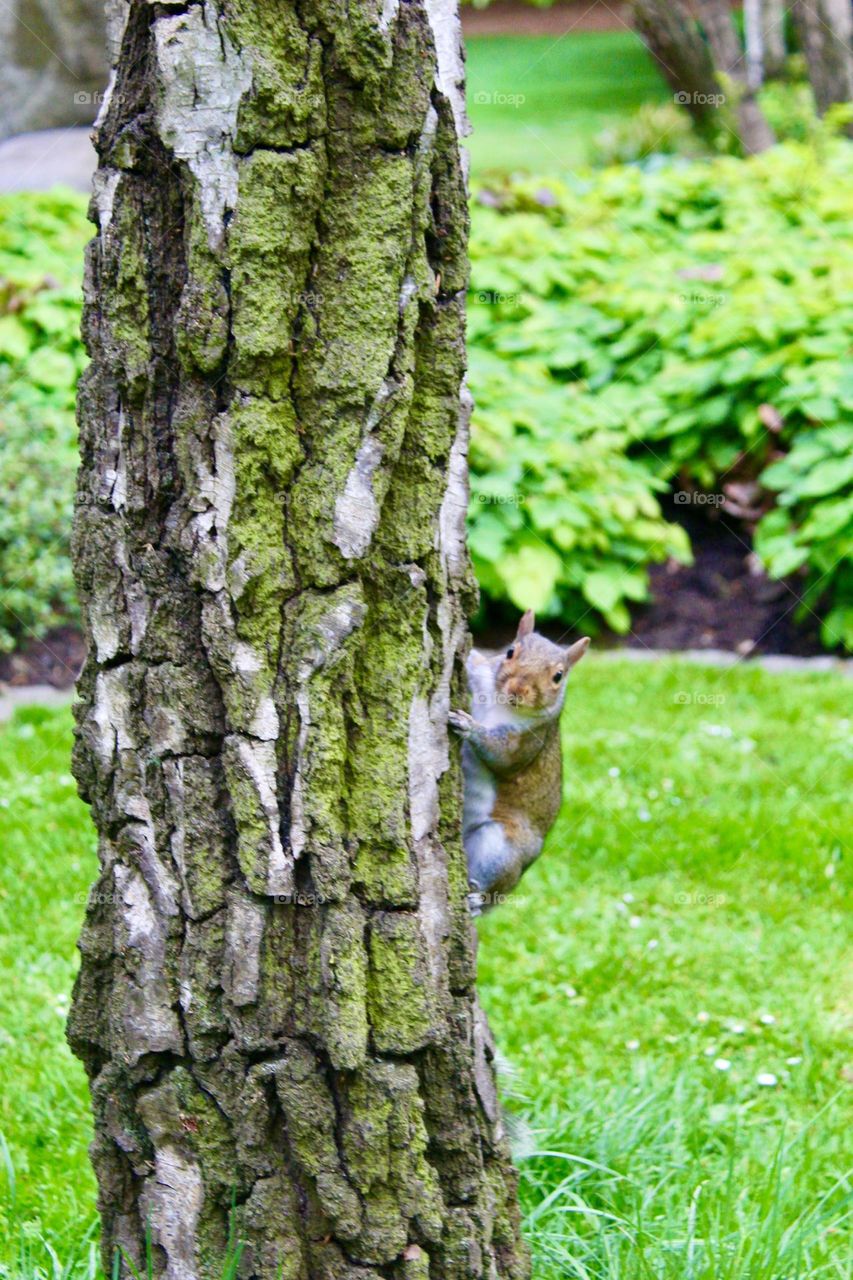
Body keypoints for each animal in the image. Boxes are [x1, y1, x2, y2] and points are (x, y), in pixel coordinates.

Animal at [449, 610, 589, 914]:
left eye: (558, 676)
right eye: (510, 652)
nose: (518, 689)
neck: (500, 704)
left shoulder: (527, 741)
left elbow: (502, 758)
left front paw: (469, 727)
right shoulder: (482, 674)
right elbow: (474, 664)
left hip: (501, 846)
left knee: (493, 888)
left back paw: (476, 900)